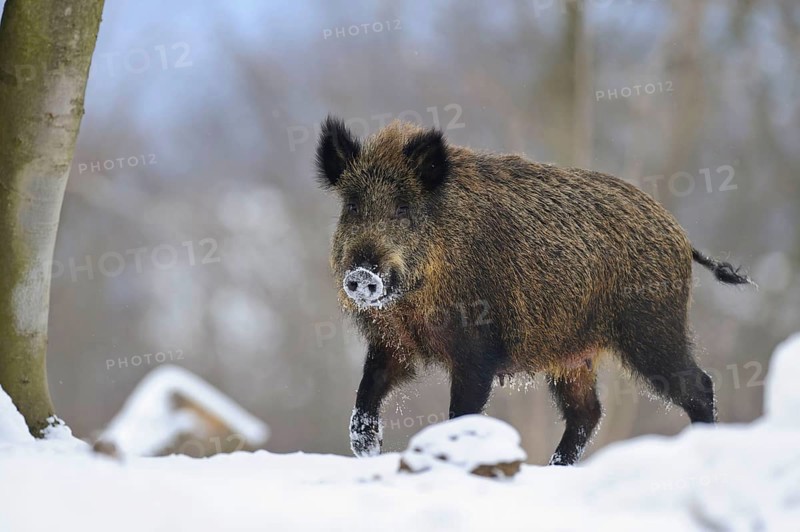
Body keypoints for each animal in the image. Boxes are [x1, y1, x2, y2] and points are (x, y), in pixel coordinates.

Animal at [314, 116, 752, 464]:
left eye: (403, 208)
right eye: (352, 206)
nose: (362, 274)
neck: (413, 302)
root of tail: (679, 234)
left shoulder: (478, 349)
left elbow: (462, 413)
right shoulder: (393, 344)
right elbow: (366, 397)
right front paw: (368, 450)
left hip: (651, 329)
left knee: (698, 386)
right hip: (575, 354)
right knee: (587, 412)